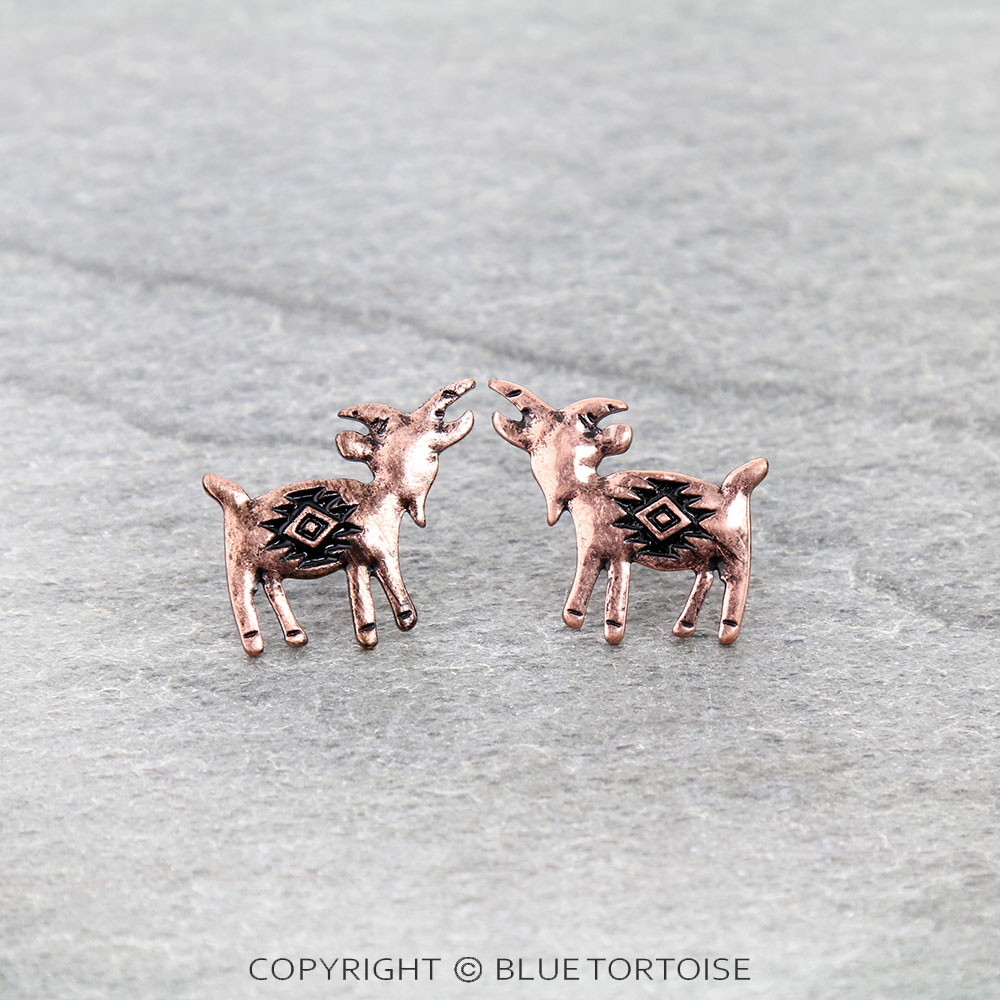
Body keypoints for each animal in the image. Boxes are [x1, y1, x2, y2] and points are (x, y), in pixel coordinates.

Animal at [203, 379, 475, 654]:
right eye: (390, 428)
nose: (443, 405)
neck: (378, 497)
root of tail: (238, 503)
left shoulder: (356, 560)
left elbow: (361, 595)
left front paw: (367, 633)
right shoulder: (380, 551)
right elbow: (392, 581)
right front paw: (401, 621)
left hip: (269, 566)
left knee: (272, 587)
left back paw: (295, 635)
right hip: (241, 567)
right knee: (243, 601)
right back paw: (253, 642)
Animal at [489, 378, 767, 645]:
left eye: (586, 430)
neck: (591, 490)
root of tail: (735, 490)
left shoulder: (608, 551)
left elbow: (601, 583)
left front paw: (601, 625)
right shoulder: (608, 552)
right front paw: (588, 620)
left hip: (734, 554)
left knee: (734, 586)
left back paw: (727, 629)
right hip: (706, 555)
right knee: (706, 577)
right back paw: (684, 627)